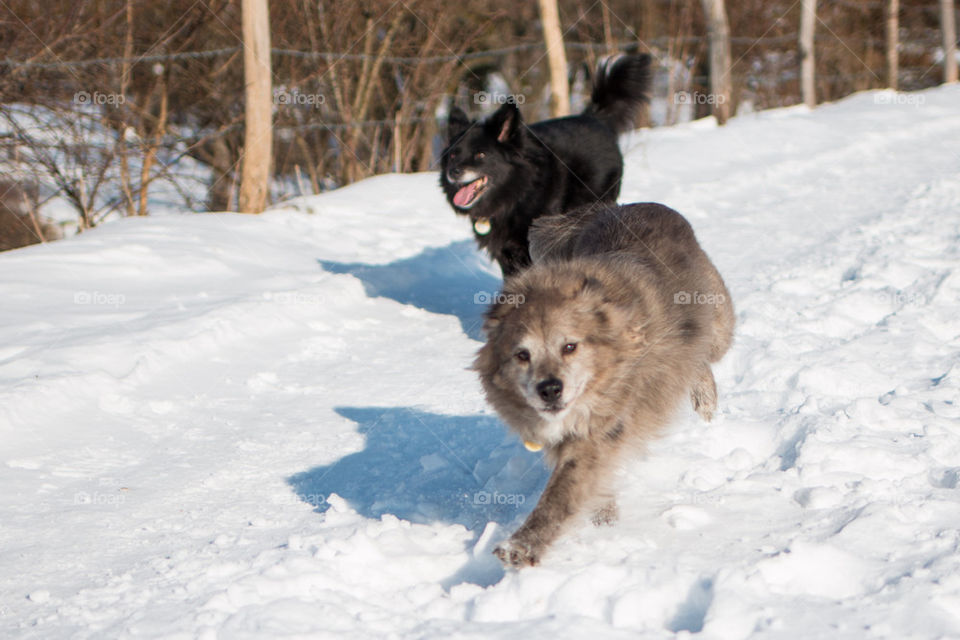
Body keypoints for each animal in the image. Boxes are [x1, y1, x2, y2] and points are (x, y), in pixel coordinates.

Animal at [442, 54, 652, 276]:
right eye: (454, 155)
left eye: (480, 154)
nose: (453, 172)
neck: (519, 192)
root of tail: (594, 117)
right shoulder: (506, 255)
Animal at [474, 202, 736, 568]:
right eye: (522, 355)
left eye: (570, 346)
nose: (550, 389)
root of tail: (614, 207)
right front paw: (604, 521)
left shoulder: (603, 430)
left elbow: (562, 493)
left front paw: (521, 547)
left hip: (718, 324)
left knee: (703, 354)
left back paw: (705, 402)